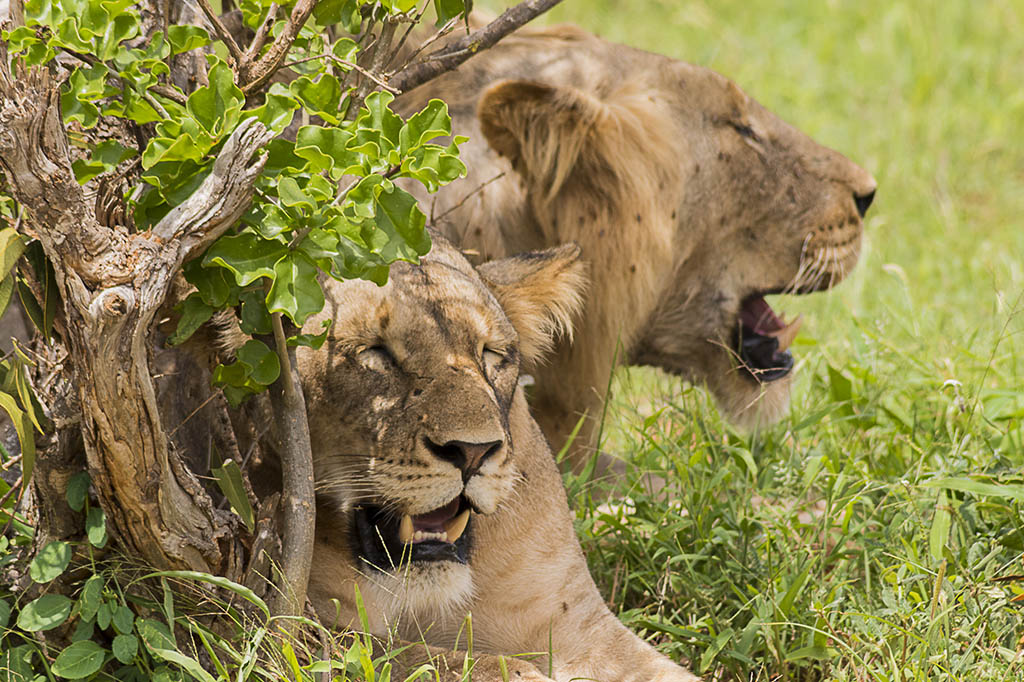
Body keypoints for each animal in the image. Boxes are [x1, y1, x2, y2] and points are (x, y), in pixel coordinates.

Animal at [288, 233, 700, 682]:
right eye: (375, 352)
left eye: (491, 353)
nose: (472, 452)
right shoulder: (311, 629)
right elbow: (450, 662)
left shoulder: (573, 622)